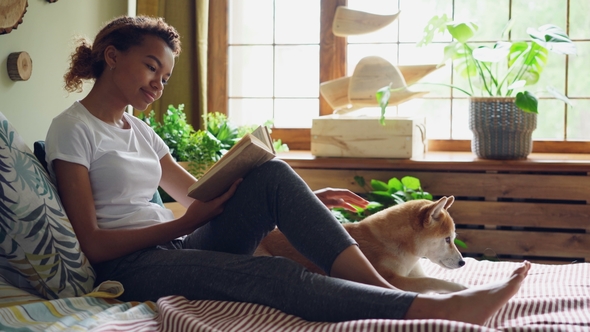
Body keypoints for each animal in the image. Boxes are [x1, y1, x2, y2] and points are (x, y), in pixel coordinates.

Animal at [256, 196, 470, 292]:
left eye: (453, 237)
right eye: (447, 239)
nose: (463, 263)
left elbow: (434, 280)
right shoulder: (392, 279)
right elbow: (433, 281)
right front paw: (462, 288)